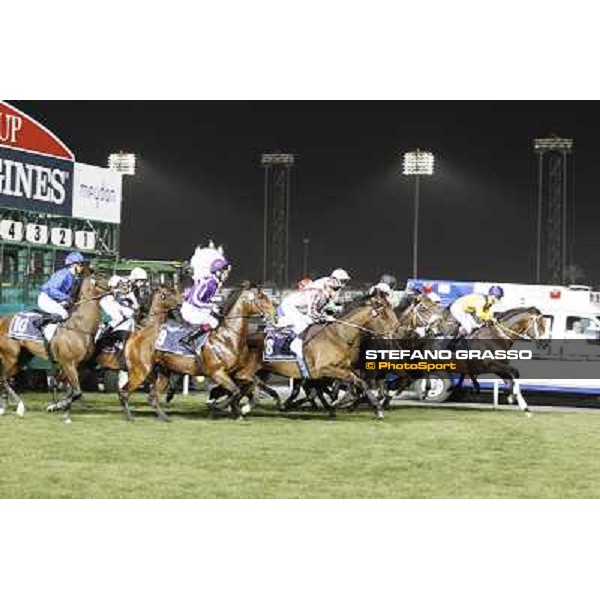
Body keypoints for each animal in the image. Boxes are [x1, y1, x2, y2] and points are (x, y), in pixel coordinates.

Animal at [0, 272, 110, 422]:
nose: (116, 285)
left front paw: (63, 411)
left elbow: (69, 390)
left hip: (22, 359)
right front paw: (57, 406)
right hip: (11, 357)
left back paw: (4, 407)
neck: (80, 327)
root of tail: (3, 320)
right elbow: (76, 392)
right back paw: (20, 407)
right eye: (101, 279)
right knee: (4, 379)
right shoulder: (68, 363)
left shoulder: (75, 365)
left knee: (5, 379)